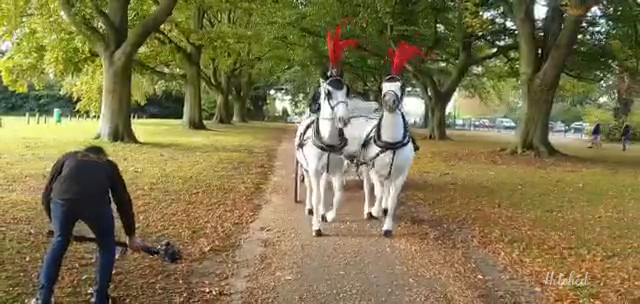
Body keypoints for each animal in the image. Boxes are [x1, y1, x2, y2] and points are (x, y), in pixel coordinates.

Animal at [296, 75, 350, 235]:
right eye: (328, 92)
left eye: (347, 91)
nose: (343, 119)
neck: (328, 141)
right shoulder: (313, 170)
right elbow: (316, 196)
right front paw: (316, 227)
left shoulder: (336, 170)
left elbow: (338, 195)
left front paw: (328, 215)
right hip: (305, 168)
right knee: (310, 188)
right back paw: (309, 208)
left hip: (325, 172)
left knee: (322, 188)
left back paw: (322, 211)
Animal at [360, 75, 416, 238]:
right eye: (382, 86)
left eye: (401, 86)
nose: (390, 101)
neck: (391, 143)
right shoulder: (373, 169)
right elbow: (377, 192)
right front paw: (375, 210)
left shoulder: (401, 175)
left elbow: (392, 199)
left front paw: (387, 226)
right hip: (366, 168)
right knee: (368, 188)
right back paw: (368, 210)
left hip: (390, 173)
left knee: (387, 187)